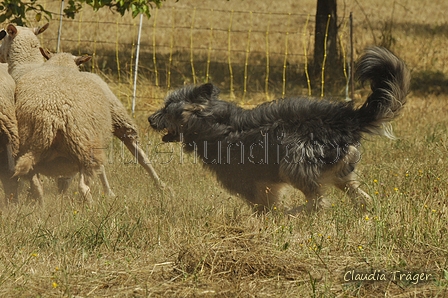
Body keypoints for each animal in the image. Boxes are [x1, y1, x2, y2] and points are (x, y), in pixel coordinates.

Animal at [150, 46, 410, 213]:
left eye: (166, 109)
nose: (150, 119)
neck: (211, 123)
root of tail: (347, 119)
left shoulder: (250, 181)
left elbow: (263, 204)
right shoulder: (264, 182)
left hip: (294, 160)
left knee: (318, 202)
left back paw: (295, 213)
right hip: (341, 172)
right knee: (360, 197)